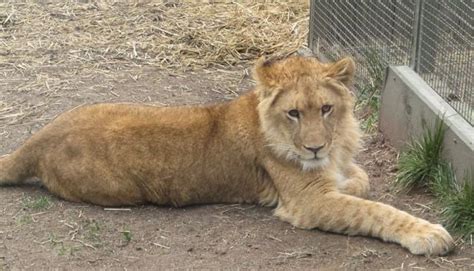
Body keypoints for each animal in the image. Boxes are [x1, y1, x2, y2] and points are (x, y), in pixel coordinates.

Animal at [0, 56, 452, 256]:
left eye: (325, 108)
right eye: (294, 113)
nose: (314, 147)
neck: (336, 140)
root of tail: (38, 136)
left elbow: (360, 180)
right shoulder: (308, 203)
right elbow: (374, 210)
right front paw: (429, 234)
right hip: (118, 191)